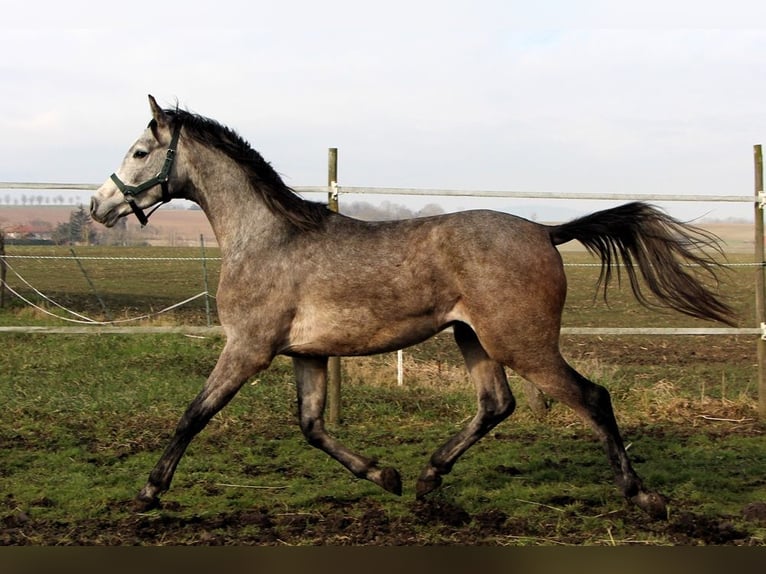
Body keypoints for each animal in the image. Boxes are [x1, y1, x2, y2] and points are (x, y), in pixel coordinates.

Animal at [91, 97, 736, 520]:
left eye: (141, 151)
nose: (98, 206)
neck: (267, 239)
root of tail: (545, 231)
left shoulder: (248, 348)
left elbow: (193, 415)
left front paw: (149, 492)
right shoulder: (307, 354)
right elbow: (312, 427)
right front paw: (387, 476)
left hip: (521, 343)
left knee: (592, 398)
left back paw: (644, 497)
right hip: (473, 338)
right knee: (496, 405)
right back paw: (428, 481)